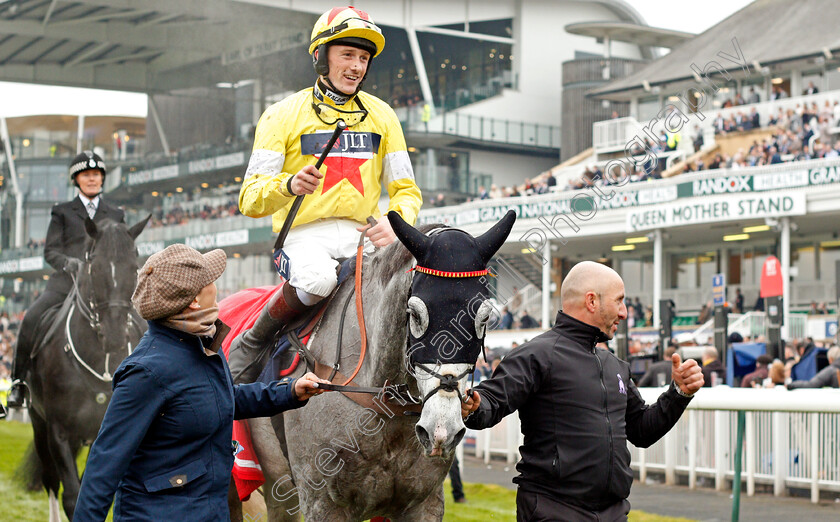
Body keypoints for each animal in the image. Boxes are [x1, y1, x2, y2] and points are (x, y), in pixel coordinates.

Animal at [18, 214, 148, 516]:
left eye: (134, 267)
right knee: (51, 481)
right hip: (38, 422)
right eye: (95, 267)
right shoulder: (58, 432)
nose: (114, 335)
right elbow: (72, 495)